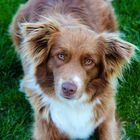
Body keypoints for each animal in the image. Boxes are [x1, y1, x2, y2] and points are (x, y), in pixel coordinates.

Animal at [9, 0, 135, 139]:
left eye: (89, 61)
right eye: (61, 56)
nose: (68, 89)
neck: (73, 105)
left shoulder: (107, 115)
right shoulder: (45, 126)